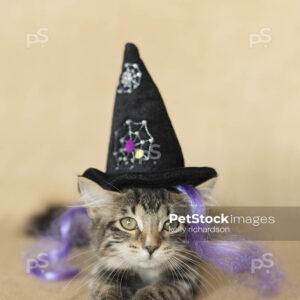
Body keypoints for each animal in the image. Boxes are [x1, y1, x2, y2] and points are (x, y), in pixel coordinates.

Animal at [77, 177, 213, 298]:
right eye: (128, 223)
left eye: (171, 224)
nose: (151, 247)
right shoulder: (103, 269)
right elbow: (106, 288)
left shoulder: (187, 275)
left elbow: (159, 290)